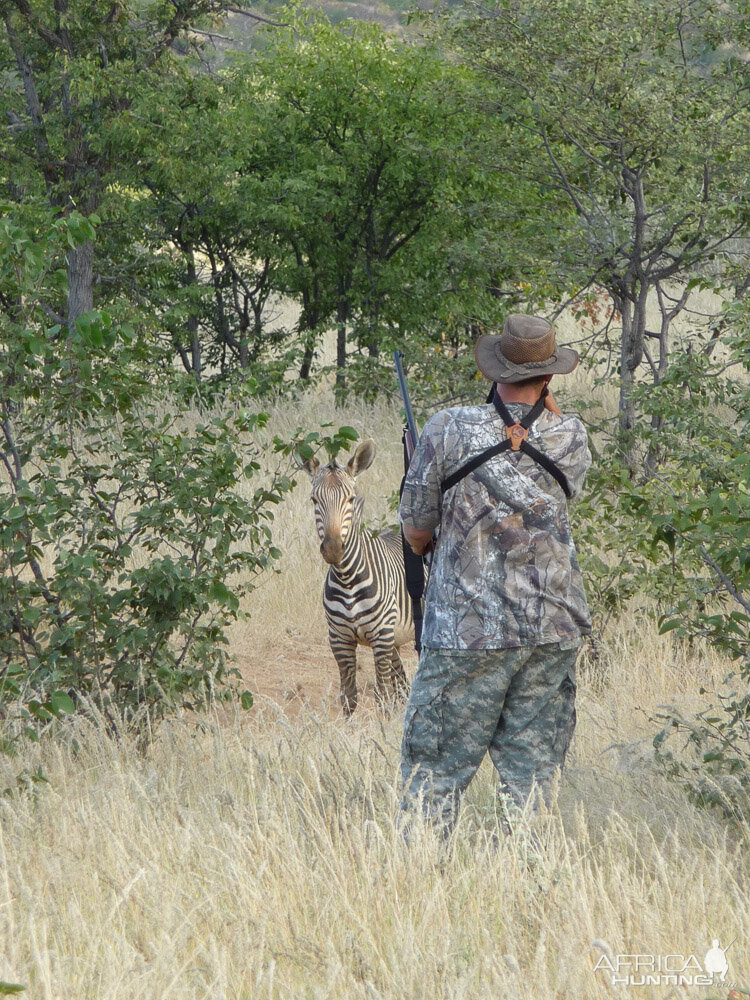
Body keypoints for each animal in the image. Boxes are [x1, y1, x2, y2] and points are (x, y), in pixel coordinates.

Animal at [302, 442, 418, 716]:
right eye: (314, 500)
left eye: (351, 499)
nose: (333, 549)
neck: (348, 579)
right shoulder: (339, 640)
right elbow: (348, 697)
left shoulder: (382, 637)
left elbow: (382, 696)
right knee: (402, 686)